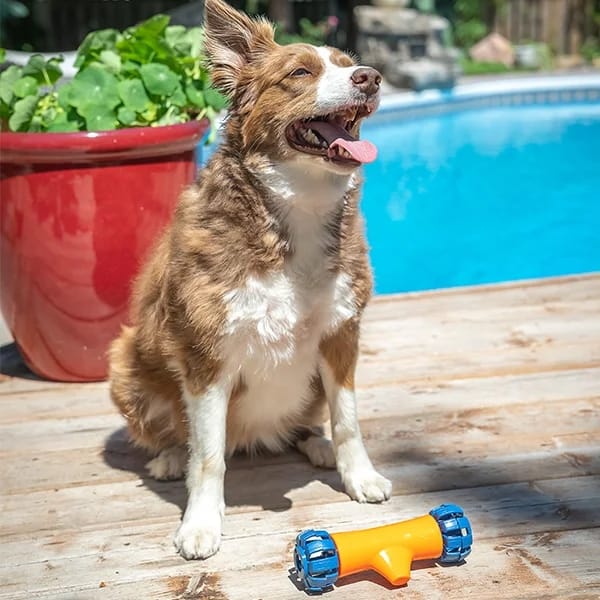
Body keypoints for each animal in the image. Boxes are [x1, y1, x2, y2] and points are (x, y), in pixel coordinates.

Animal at [109, 0, 392, 564]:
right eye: (300, 73)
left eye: (348, 64)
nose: (369, 78)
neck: (294, 212)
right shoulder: (205, 356)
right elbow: (208, 456)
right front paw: (201, 523)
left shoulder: (341, 333)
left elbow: (348, 417)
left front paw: (359, 476)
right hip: (126, 362)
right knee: (182, 437)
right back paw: (169, 457)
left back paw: (314, 442)